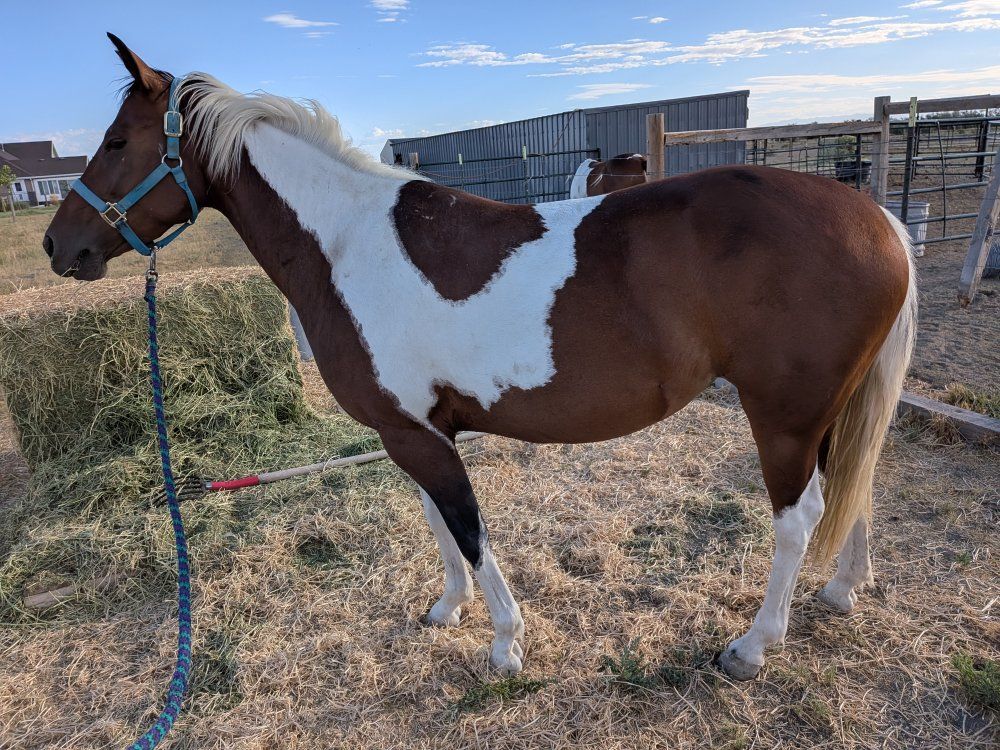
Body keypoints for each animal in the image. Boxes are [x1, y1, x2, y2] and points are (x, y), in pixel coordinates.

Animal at [44, 36, 916, 681]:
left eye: (116, 141)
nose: (59, 246)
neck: (346, 243)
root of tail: (876, 220)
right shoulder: (417, 431)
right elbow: (439, 523)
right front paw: (447, 609)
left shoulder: (417, 436)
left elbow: (467, 527)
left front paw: (504, 641)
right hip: (831, 410)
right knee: (857, 488)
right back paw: (843, 590)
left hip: (785, 417)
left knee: (799, 518)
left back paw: (752, 645)